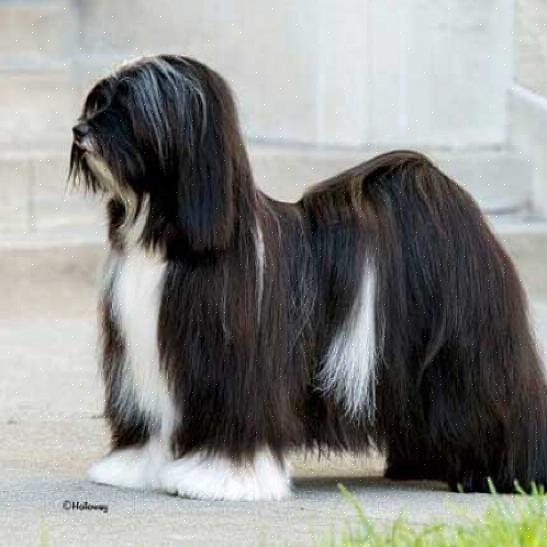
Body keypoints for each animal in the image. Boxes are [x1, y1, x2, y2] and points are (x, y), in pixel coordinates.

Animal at [70, 54, 547, 500]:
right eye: (98, 101)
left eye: (127, 108)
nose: (79, 130)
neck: (167, 234)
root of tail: (442, 194)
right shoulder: (142, 361)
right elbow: (151, 423)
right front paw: (133, 468)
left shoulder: (233, 367)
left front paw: (221, 478)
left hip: (470, 356)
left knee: (505, 405)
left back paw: (506, 476)